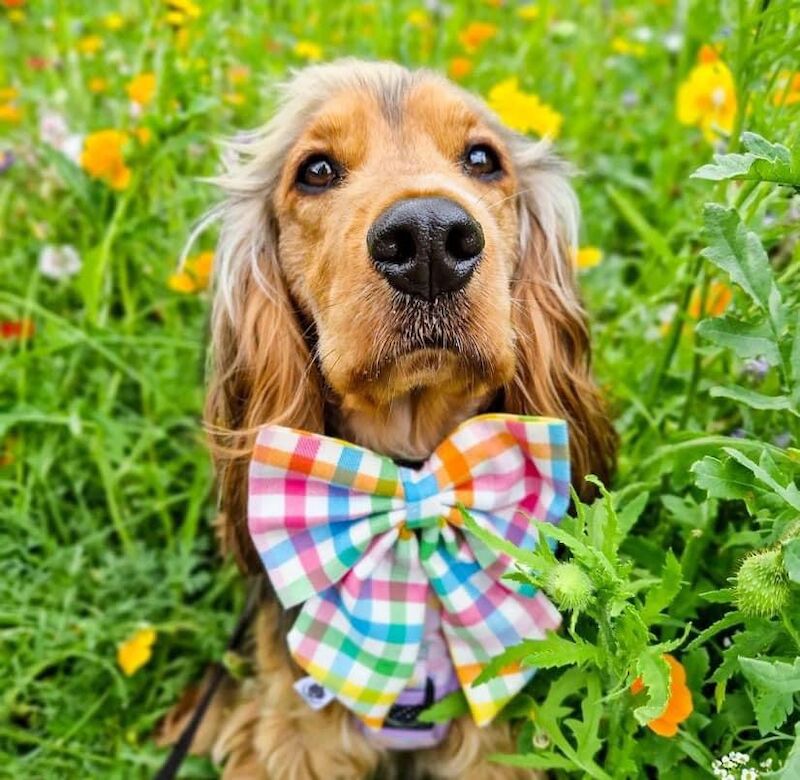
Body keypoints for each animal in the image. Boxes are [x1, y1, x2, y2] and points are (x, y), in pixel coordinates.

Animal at [161, 58, 612, 776]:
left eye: (482, 159)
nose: (428, 239)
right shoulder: (300, 734)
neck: (411, 477)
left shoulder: (493, 739)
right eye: (316, 169)